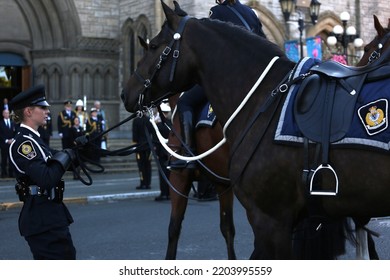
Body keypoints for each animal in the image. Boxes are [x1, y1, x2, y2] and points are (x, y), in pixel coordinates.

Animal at [122, 1, 390, 260]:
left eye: (153, 46)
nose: (126, 93)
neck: (262, 97)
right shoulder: (228, 187)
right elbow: (228, 229)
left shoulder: (268, 219)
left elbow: (174, 229)